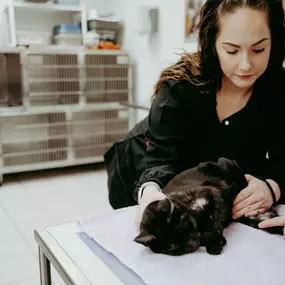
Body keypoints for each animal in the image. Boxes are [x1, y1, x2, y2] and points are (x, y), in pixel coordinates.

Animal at [134, 158, 282, 255]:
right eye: (172, 246)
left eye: (183, 225)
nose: (192, 244)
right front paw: (214, 240)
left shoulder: (213, 193)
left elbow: (215, 222)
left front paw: (214, 243)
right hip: (256, 219)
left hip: (220, 163)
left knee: (241, 179)